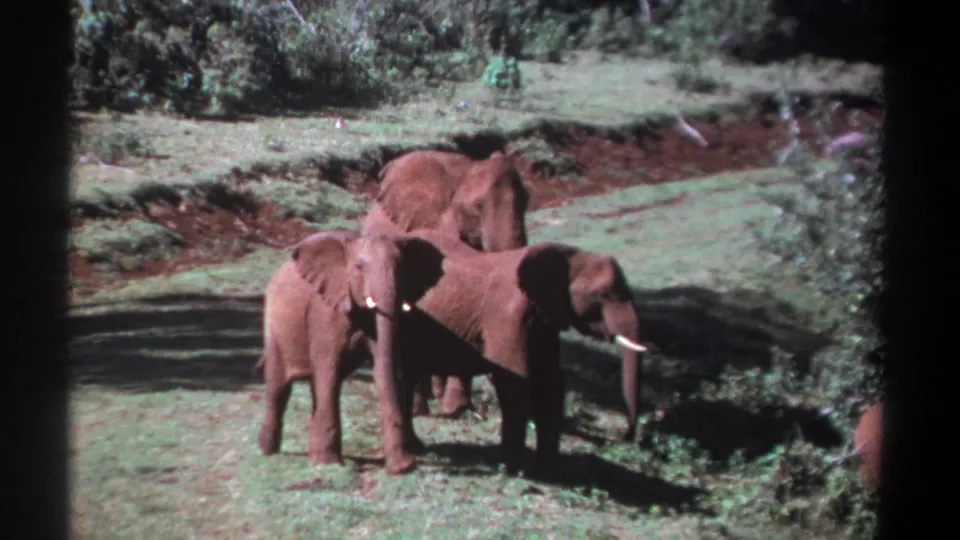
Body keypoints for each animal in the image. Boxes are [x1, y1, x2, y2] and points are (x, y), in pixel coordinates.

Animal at [255, 229, 445, 475]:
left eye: (402, 266)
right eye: (359, 267)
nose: (405, 466)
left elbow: (385, 370)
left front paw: (404, 463)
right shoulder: (325, 310)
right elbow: (330, 371)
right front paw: (327, 464)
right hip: (274, 328)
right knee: (279, 388)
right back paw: (267, 451)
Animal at [389, 229, 650, 475]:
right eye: (604, 294)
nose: (627, 436)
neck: (569, 254)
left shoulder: (545, 321)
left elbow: (551, 381)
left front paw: (550, 471)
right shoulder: (509, 316)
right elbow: (514, 381)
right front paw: (513, 469)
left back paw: (417, 447)